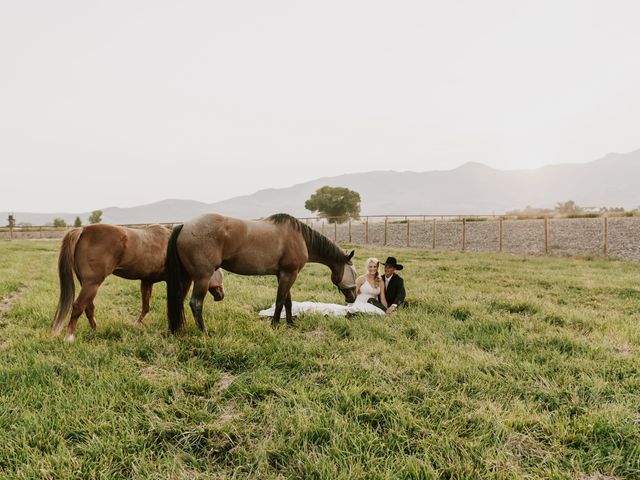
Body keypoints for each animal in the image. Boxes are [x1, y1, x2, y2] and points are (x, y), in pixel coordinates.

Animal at [52, 224, 225, 342]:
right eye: (220, 273)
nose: (221, 295)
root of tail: (83, 230)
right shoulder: (182, 281)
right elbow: (177, 302)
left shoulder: (147, 281)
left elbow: (146, 307)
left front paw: (136, 325)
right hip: (92, 284)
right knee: (78, 306)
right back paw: (69, 337)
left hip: (88, 284)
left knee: (88, 307)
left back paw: (95, 330)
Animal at [165, 212, 358, 332]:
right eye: (355, 274)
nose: (353, 297)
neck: (300, 238)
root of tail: (184, 226)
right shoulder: (289, 274)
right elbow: (280, 301)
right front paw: (275, 325)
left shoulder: (284, 274)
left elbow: (288, 302)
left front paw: (290, 323)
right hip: (202, 278)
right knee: (195, 304)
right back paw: (204, 333)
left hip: (186, 278)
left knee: (179, 301)